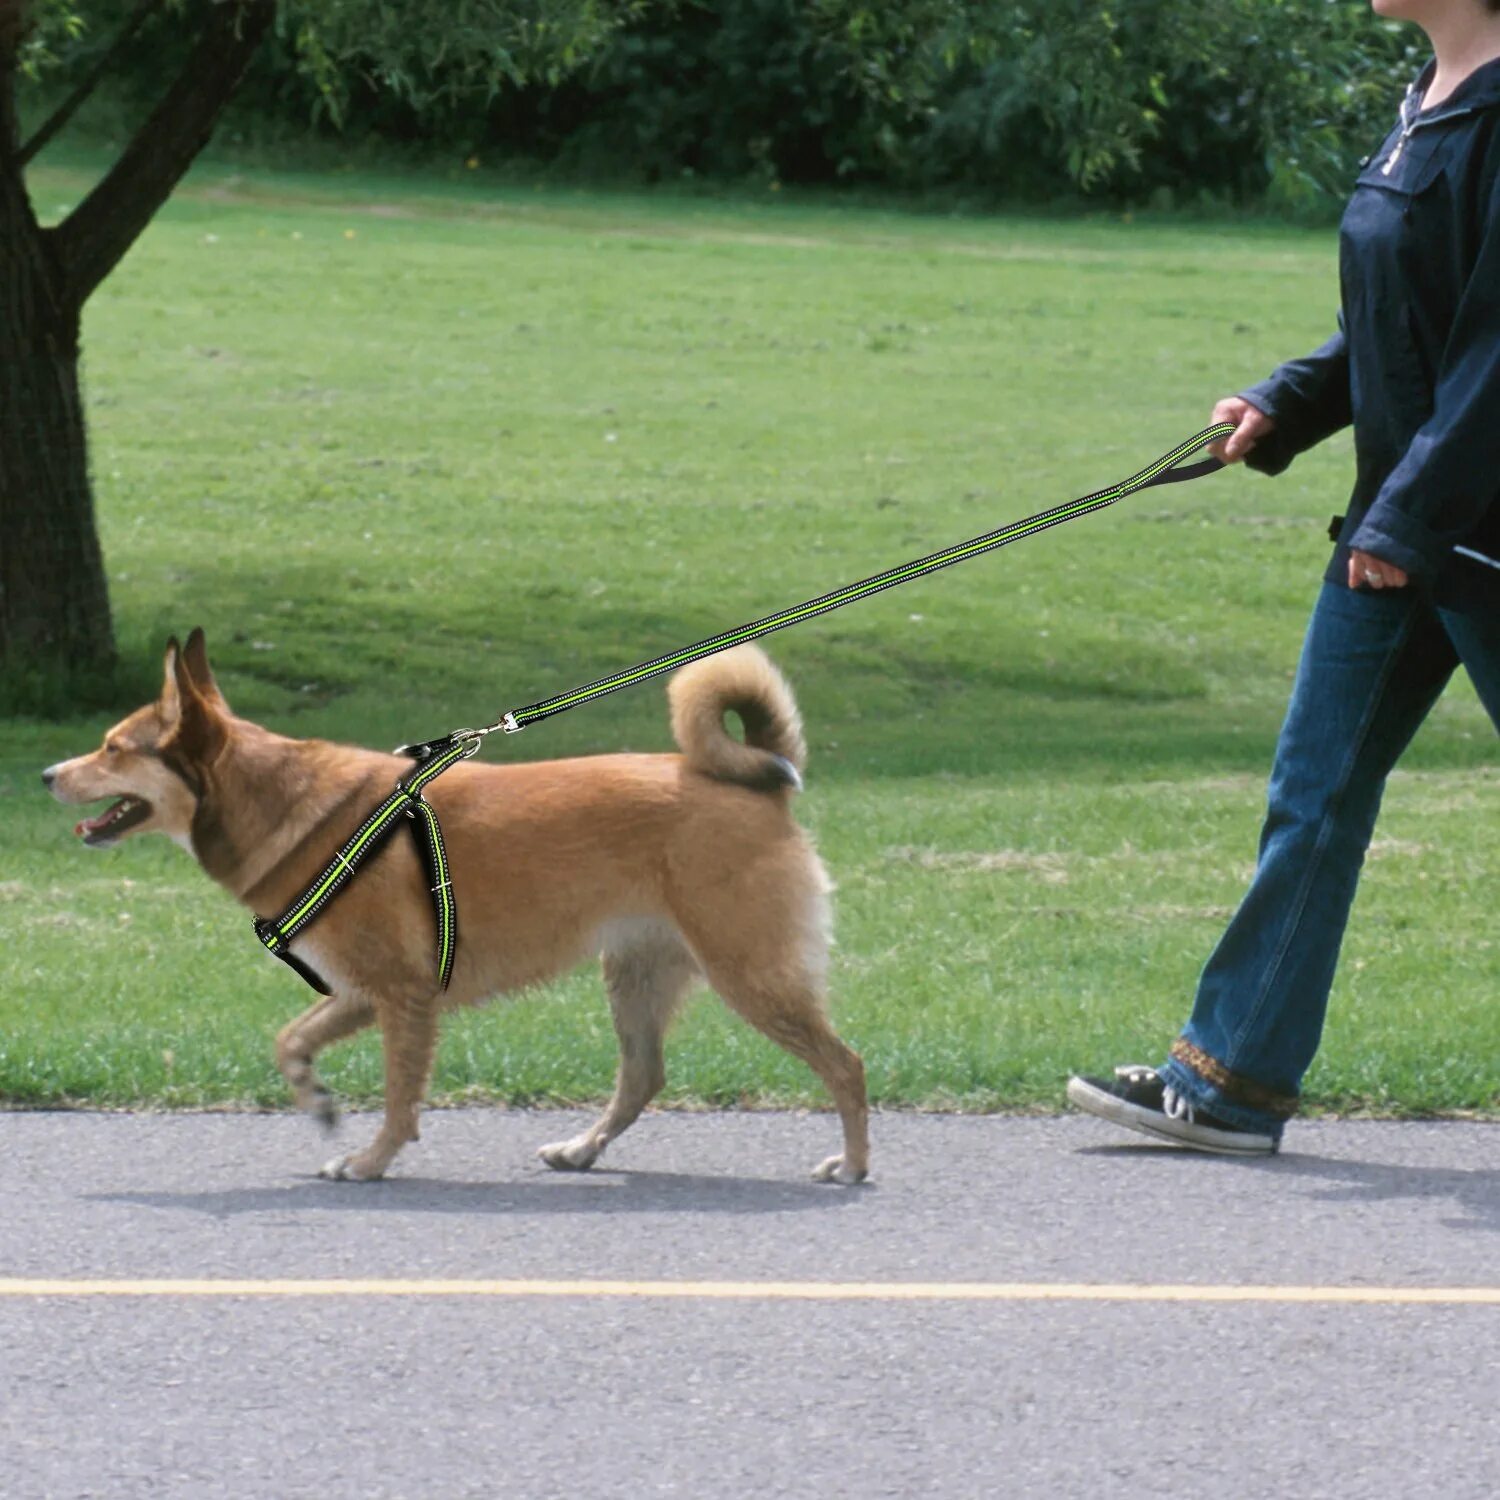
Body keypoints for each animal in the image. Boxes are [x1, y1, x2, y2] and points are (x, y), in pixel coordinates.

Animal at [41, 630, 870, 1182]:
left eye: (114, 748)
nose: (48, 774)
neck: (280, 801)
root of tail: (757, 782)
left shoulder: (401, 995)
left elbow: (400, 1098)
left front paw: (370, 1161)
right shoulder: (364, 990)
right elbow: (290, 1042)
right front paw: (318, 1101)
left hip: (749, 970)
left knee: (846, 1064)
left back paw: (854, 1164)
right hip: (637, 972)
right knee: (643, 1078)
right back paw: (583, 1150)